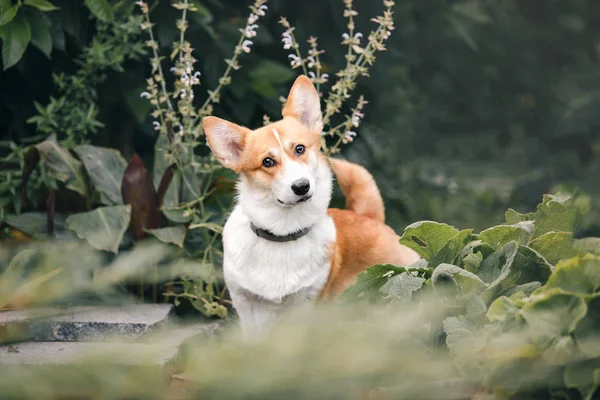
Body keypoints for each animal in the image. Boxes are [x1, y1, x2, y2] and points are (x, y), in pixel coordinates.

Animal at [204, 75, 420, 334]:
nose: (301, 186)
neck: (283, 233)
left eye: (300, 149)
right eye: (267, 162)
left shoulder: (306, 302)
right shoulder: (245, 304)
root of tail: (369, 217)